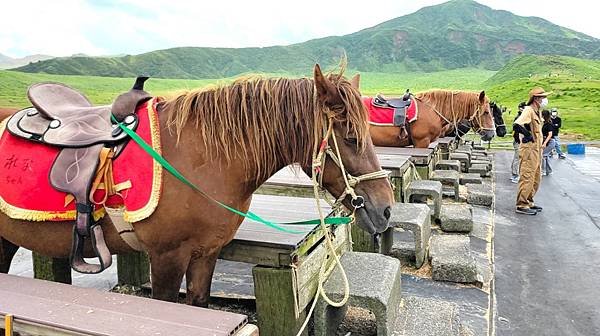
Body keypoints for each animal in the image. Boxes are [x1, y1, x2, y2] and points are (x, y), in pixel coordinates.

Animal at [0, 64, 394, 306]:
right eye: (351, 137)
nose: (386, 208)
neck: (202, 157)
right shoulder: (166, 257)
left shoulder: (206, 254)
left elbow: (198, 301)